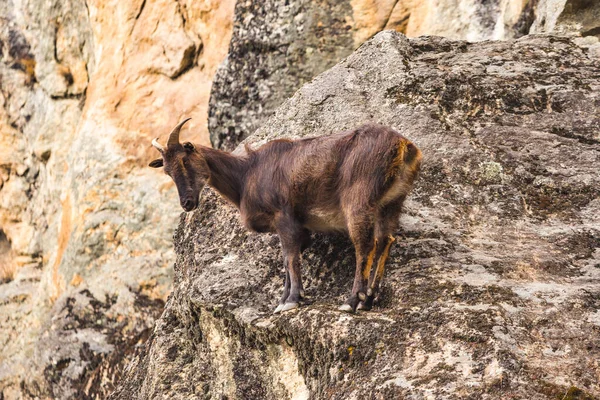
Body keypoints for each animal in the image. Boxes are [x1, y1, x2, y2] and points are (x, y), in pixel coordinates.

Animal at [150, 119, 422, 312]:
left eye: (185, 161)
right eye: (167, 171)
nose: (187, 203)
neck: (245, 175)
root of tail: (403, 147)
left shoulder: (285, 218)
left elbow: (291, 259)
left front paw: (291, 300)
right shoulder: (295, 227)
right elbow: (285, 260)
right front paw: (283, 299)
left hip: (358, 201)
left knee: (365, 245)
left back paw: (353, 300)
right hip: (392, 203)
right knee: (386, 239)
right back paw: (370, 298)